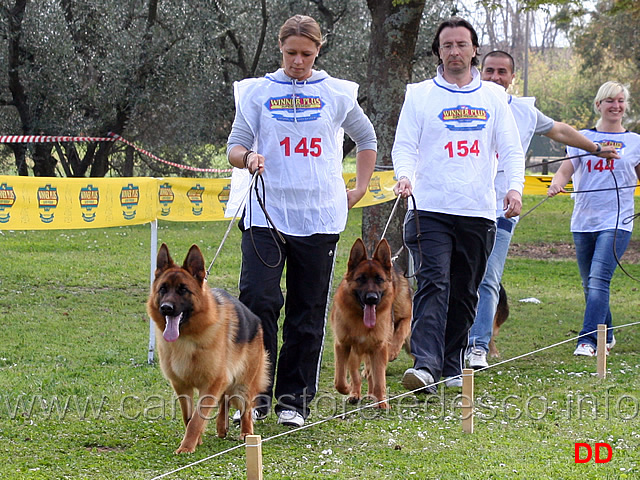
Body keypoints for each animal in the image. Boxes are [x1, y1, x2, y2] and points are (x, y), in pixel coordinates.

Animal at [148, 246, 270, 452]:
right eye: (163, 289)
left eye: (183, 290)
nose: (166, 308)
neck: (187, 337)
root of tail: (255, 319)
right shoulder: (182, 385)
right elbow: (188, 417)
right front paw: (195, 441)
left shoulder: (212, 383)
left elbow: (197, 419)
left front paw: (187, 447)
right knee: (224, 400)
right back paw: (222, 428)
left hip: (243, 383)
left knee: (245, 407)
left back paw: (247, 433)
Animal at [330, 239, 416, 408]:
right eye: (361, 279)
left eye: (379, 279)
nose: (372, 298)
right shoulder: (343, 345)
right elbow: (341, 379)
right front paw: (348, 389)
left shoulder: (381, 345)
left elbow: (380, 378)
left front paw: (382, 401)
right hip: (356, 353)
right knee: (357, 375)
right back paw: (355, 394)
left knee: (372, 374)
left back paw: (372, 395)